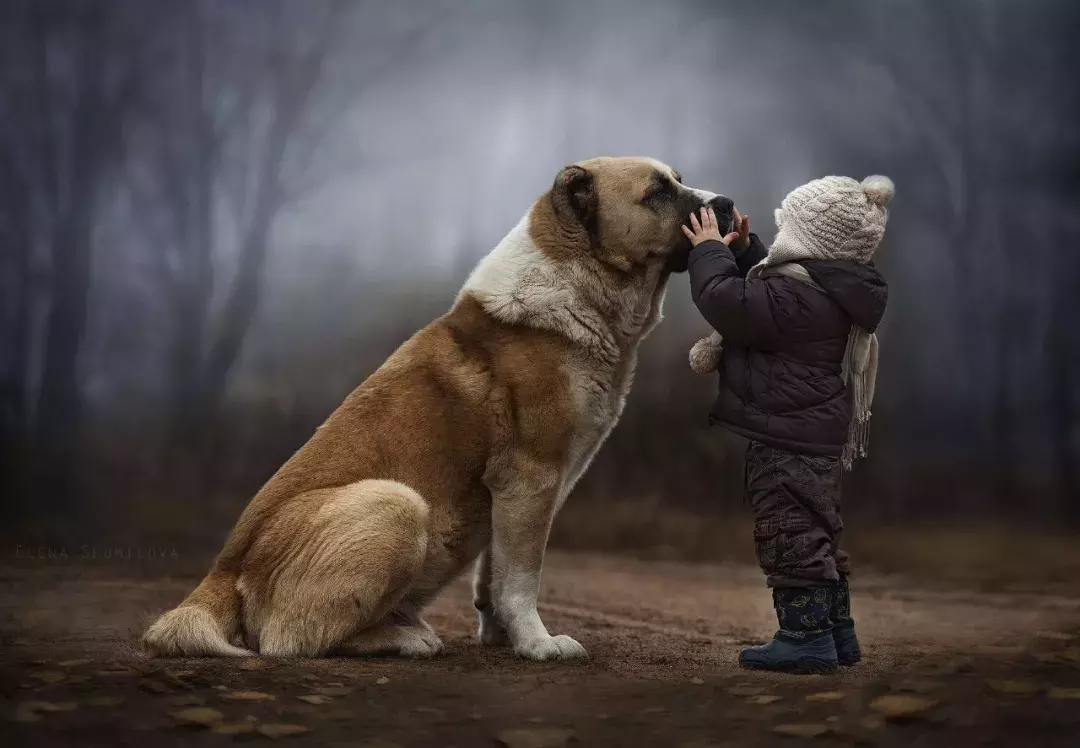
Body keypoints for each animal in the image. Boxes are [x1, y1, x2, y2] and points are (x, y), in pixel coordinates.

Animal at [143, 156, 734, 660]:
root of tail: (222, 572)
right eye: (658, 192)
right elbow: (522, 576)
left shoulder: (515, 494)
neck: (576, 285)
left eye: (678, 180)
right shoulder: (532, 478)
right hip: (396, 503)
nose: (726, 203)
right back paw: (407, 638)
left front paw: (503, 636)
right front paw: (539, 645)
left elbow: (495, 573)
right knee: (291, 641)